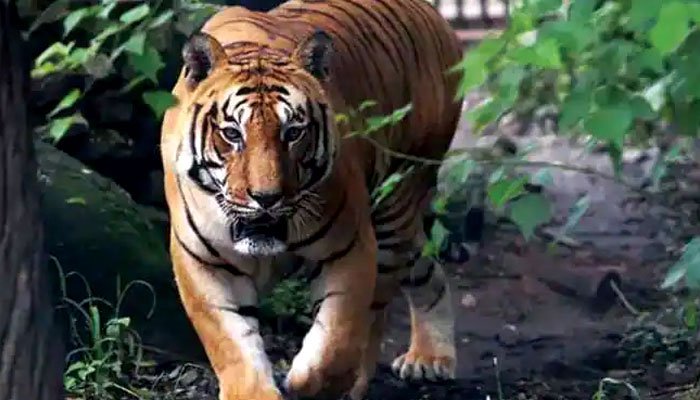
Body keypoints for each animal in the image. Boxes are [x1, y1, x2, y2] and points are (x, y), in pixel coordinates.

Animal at [159, 1, 465, 399]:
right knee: (427, 268)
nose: (266, 198)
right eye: (232, 134)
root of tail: (434, 14)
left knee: (376, 310)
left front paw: (309, 384)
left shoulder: (350, 247)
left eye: (293, 132)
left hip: (396, 201)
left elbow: (336, 339)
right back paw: (430, 358)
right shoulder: (202, 261)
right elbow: (231, 344)